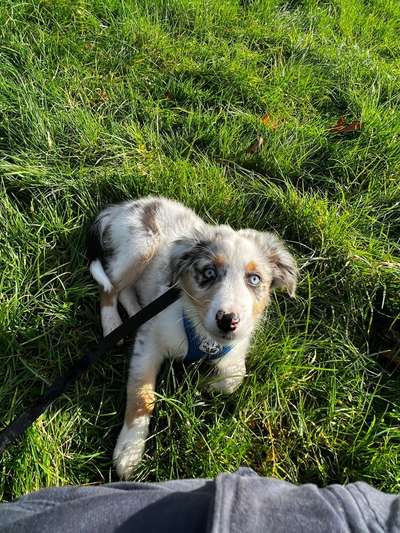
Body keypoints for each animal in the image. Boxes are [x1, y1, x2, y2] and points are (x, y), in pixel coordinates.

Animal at [87, 196, 296, 478]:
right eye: (208, 273)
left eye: (254, 279)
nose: (228, 321)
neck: (201, 333)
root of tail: (122, 208)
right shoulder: (149, 343)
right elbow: (142, 395)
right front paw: (129, 451)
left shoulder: (234, 351)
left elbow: (234, 379)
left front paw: (198, 383)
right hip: (142, 246)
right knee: (110, 287)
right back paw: (112, 325)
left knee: (126, 291)